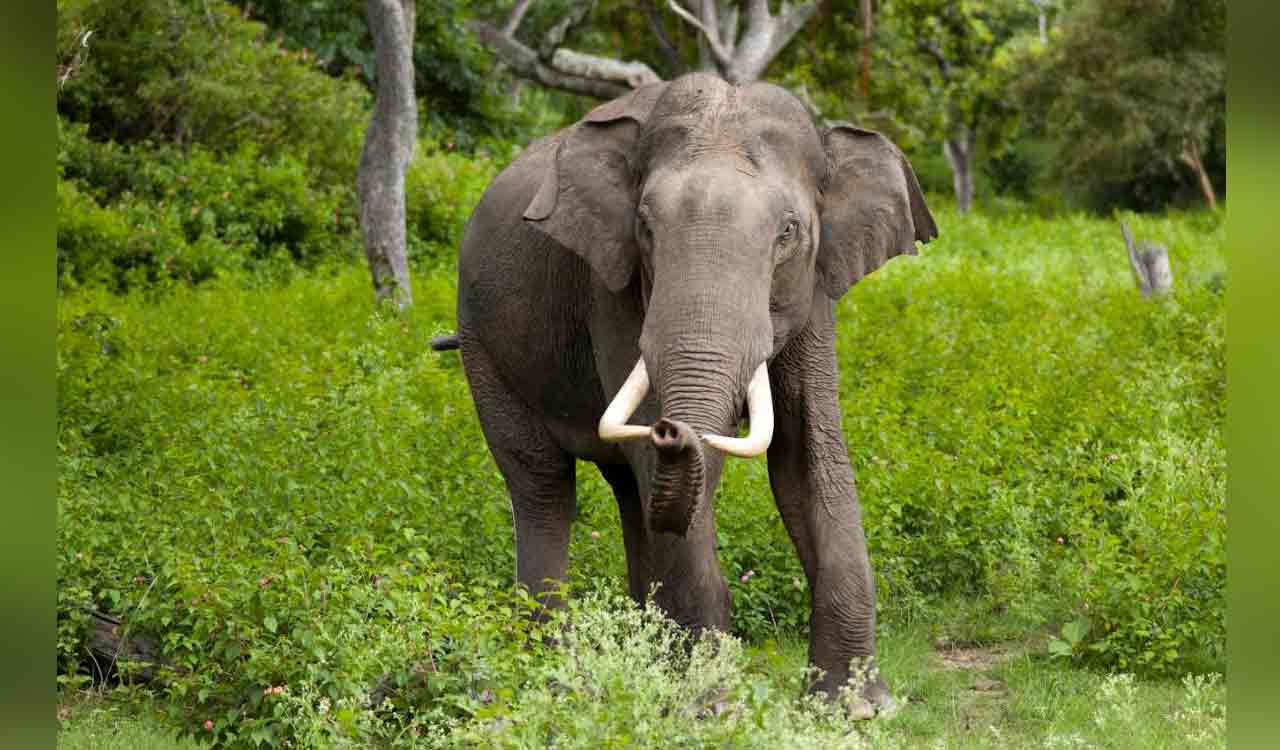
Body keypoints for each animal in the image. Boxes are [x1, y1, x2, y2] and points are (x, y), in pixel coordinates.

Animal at [433, 72, 936, 714]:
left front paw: (856, 707)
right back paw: (553, 671)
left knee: (630, 493)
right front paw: (710, 707)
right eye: (646, 227)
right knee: (544, 485)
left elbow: (807, 456)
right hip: (482, 343)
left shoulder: (816, 288)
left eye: (789, 231)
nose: (674, 429)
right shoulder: (611, 286)